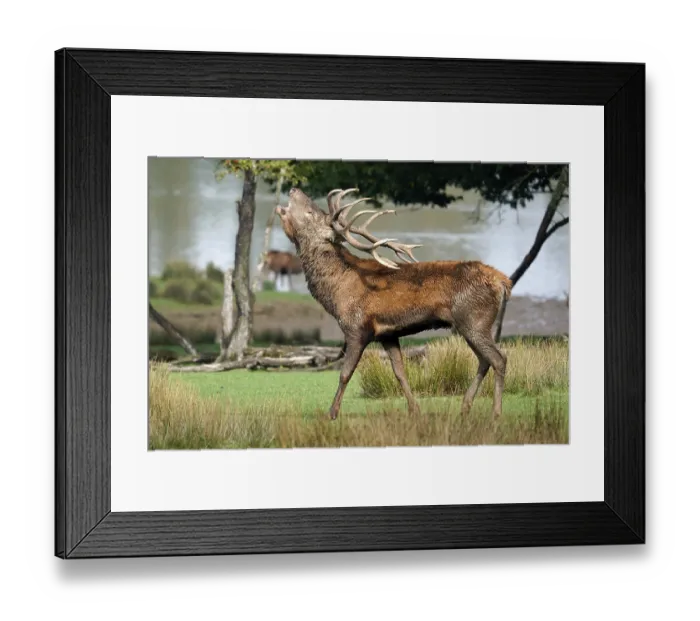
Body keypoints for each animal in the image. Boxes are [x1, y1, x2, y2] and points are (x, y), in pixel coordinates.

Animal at [276, 187, 512, 421]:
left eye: (311, 213)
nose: (294, 189)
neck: (336, 292)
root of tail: (503, 281)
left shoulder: (357, 328)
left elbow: (345, 373)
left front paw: (332, 413)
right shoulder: (387, 334)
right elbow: (399, 372)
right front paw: (414, 409)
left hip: (475, 320)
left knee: (499, 358)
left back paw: (496, 412)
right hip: (468, 324)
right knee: (484, 360)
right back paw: (465, 407)